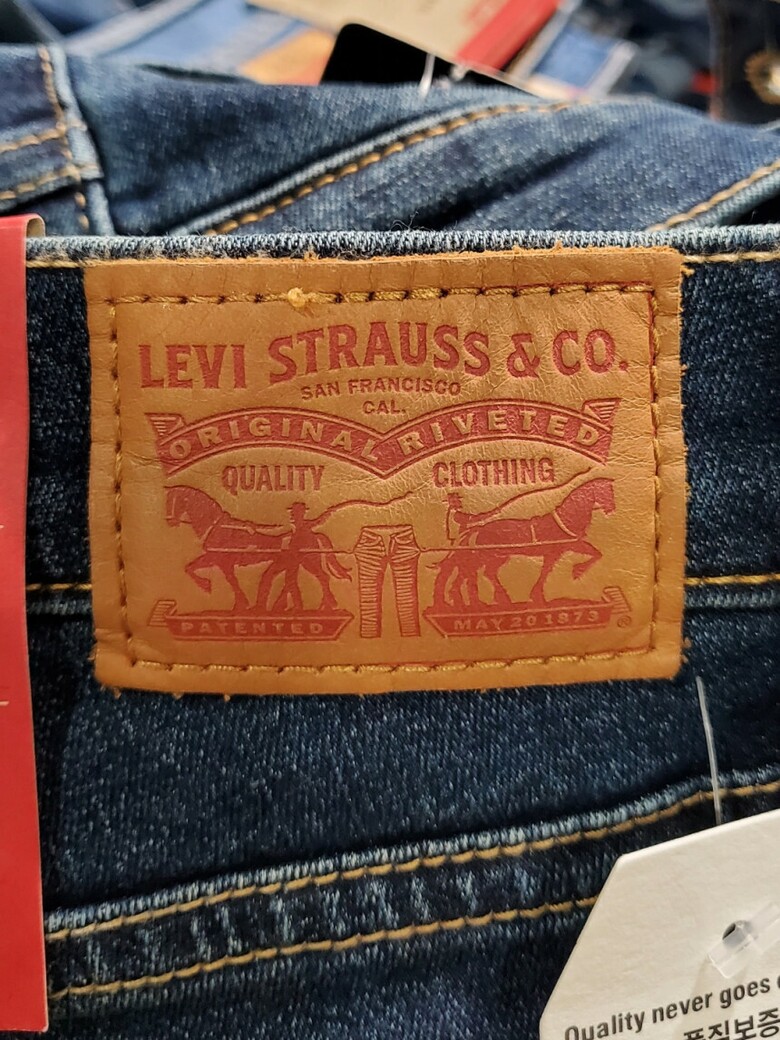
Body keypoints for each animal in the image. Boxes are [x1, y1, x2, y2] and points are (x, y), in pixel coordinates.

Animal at [432, 478, 615, 609]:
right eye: (608, 491)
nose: (611, 509)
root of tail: (479, 529)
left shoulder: (565, 547)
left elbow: (595, 552)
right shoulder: (558, 549)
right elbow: (547, 571)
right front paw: (576, 572)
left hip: (496, 556)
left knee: (480, 572)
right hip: (490, 555)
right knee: (473, 572)